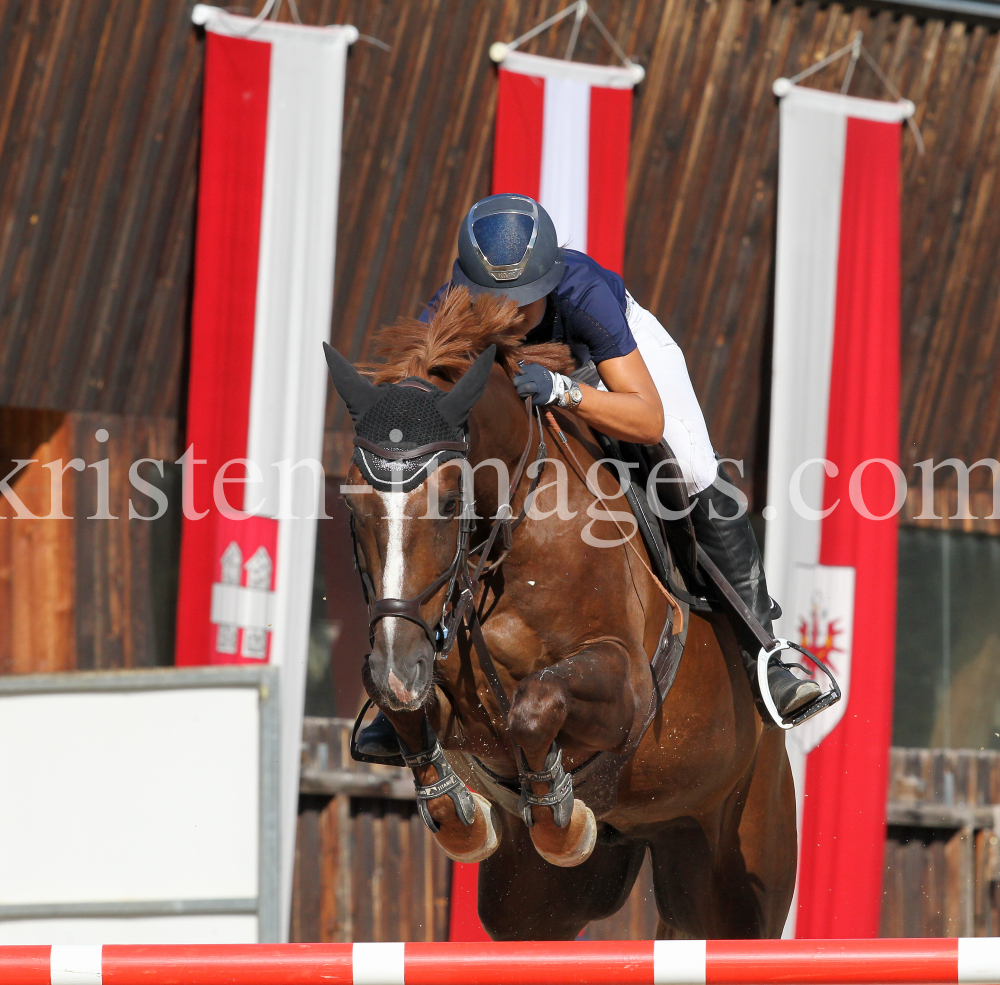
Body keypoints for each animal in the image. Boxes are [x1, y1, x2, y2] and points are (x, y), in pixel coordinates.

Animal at [328, 288, 796, 940]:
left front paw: (557, 814)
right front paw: (464, 817)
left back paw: (788, 683)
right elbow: (407, 707)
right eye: (352, 505)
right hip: (541, 903)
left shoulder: (630, 686)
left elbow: (536, 703)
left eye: (448, 501)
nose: (401, 664)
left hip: (736, 881)